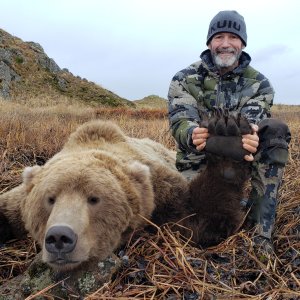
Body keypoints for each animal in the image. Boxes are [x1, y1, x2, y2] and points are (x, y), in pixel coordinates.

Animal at [0, 113, 251, 272]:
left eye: (94, 198)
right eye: (50, 199)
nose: (60, 237)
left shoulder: (161, 193)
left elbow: (202, 221)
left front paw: (228, 139)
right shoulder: (18, 201)